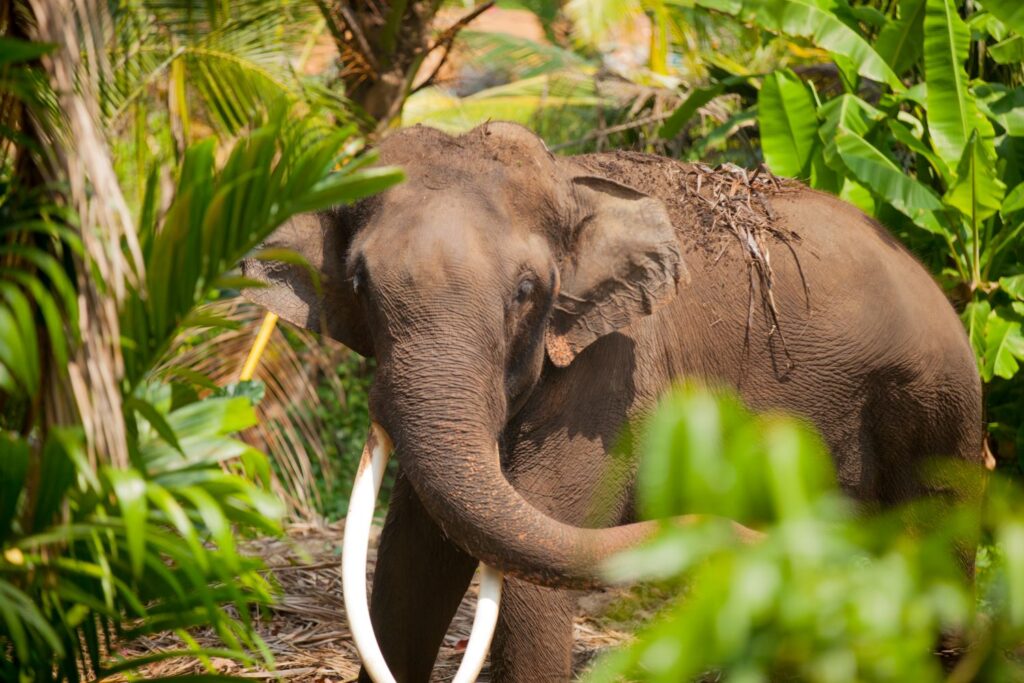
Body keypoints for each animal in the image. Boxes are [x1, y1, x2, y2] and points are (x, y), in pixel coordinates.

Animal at [242, 121, 986, 682]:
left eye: (526, 291)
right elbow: (411, 561)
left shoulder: (618, 371)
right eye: (360, 283)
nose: (748, 535)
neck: (571, 185)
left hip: (938, 409)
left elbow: (532, 565)